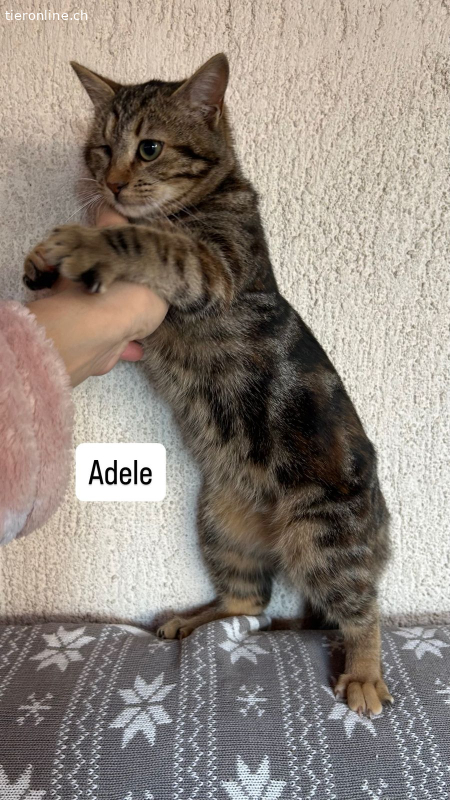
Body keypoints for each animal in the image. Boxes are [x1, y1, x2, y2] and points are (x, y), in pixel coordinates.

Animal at [24, 53, 393, 716]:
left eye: (148, 148)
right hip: (222, 526)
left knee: (360, 607)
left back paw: (364, 675)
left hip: (325, 538)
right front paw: (41, 256)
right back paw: (190, 620)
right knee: (248, 601)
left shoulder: (211, 269)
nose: (112, 183)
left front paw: (86, 239)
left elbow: (149, 239)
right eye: (100, 148)